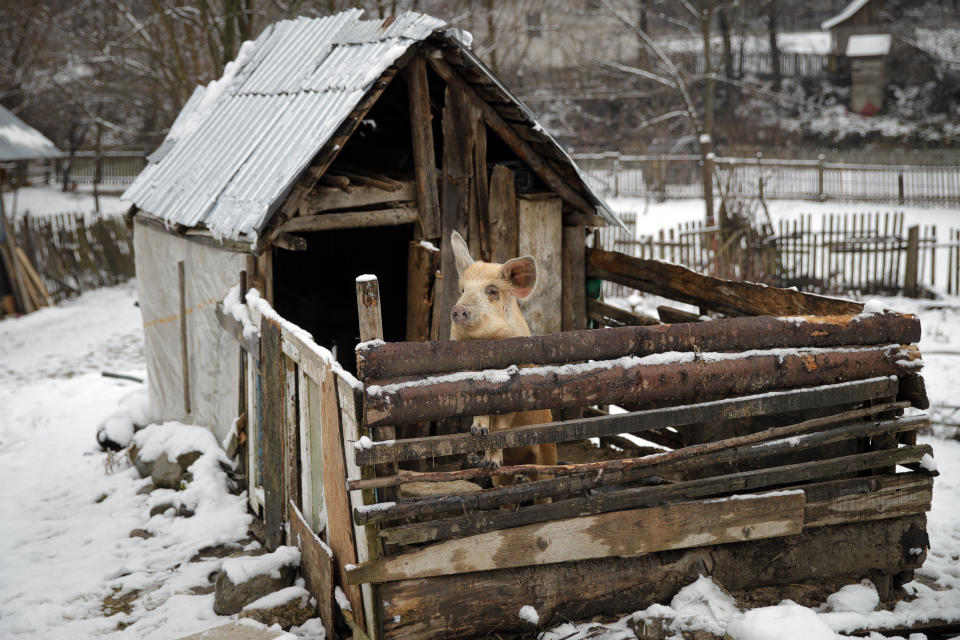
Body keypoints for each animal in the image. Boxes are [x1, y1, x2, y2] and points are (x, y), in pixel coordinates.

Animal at [448, 230, 560, 490]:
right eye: (462, 290)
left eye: (492, 291)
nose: (458, 310)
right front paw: (477, 433)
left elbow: (501, 424)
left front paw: (490, 461)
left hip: (547, 454)